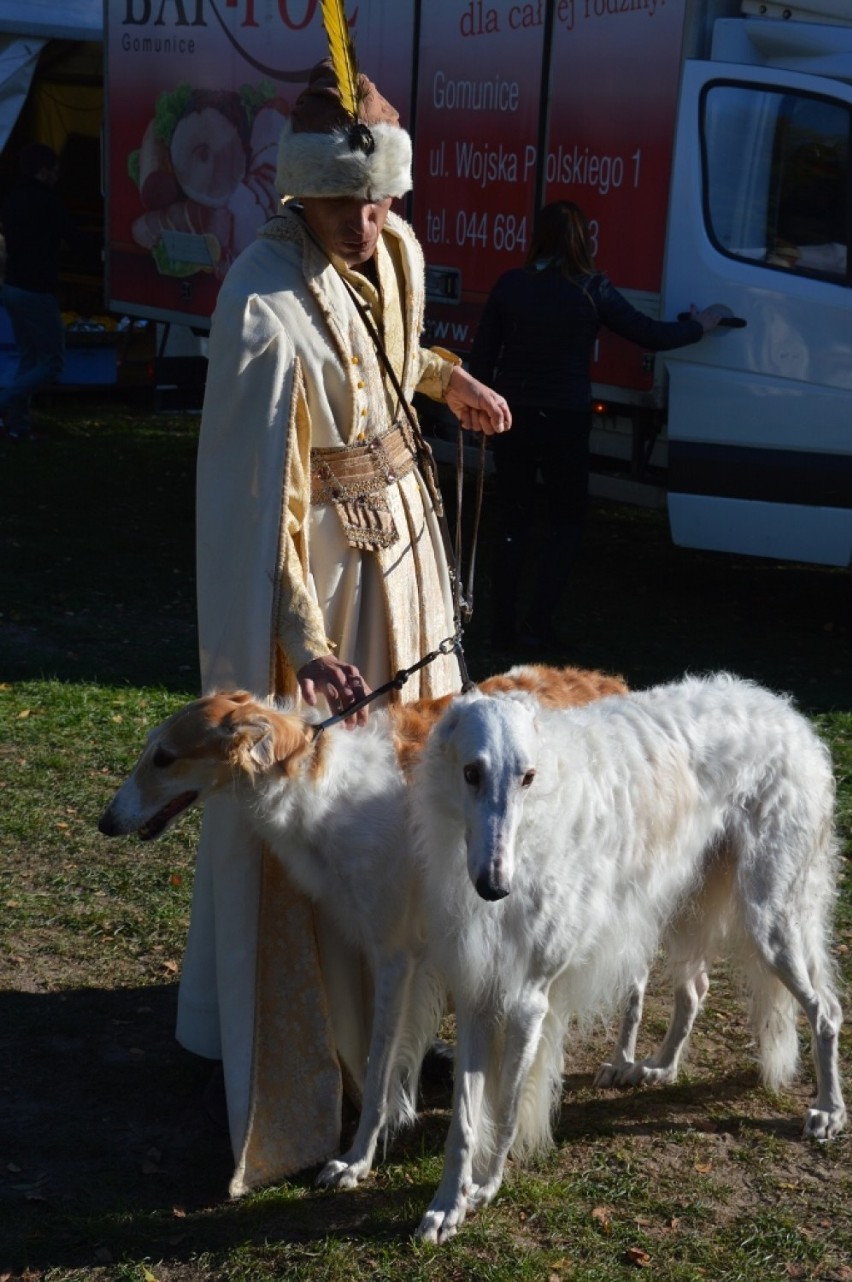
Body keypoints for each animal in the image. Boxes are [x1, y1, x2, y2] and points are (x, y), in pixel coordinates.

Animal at [98, 661, 625, 1189]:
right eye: (150, 750)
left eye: (164, 757)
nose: (106, 823)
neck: (323, 782)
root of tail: (610, 681)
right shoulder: (379, 944)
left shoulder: (397, 952)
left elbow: (379, 1066)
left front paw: (356, 1159)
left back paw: (629, 1064)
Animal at [412, 676, 845, 1246]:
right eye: (471, 773)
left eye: (529, 776)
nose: (494, 887)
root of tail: (789, 714)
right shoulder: (478, 991)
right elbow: (463, 1122)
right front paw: (446, 1205)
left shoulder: (529, 996)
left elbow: (504, 1109)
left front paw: (485, 1187)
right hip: (687, 901)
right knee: (696, 990)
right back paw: (658, 1066)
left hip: (772, 919)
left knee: (827, 1011)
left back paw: (829, 1110)